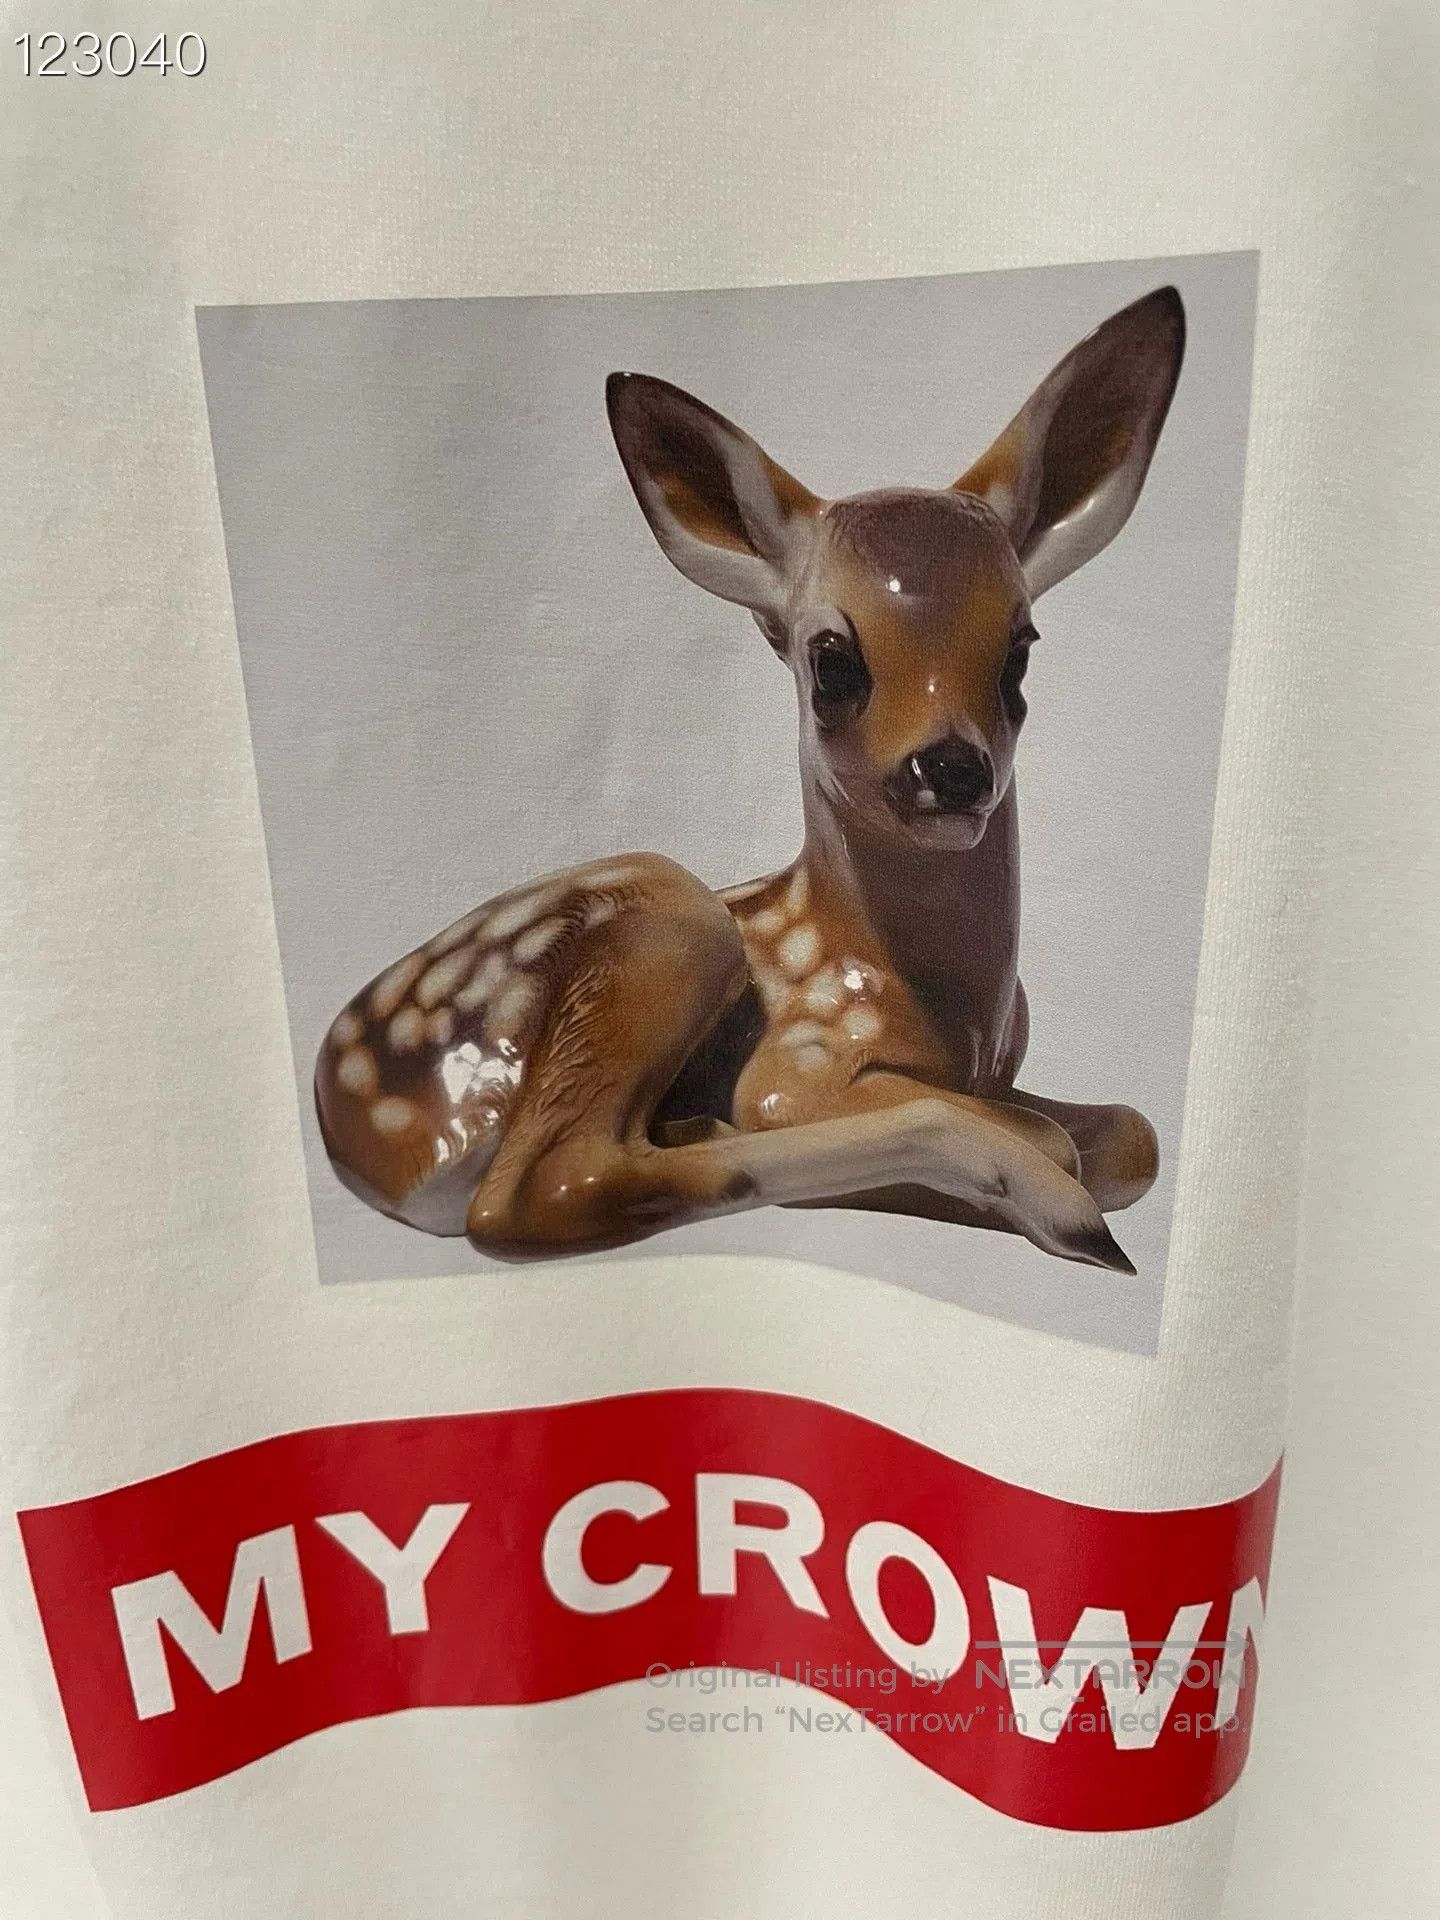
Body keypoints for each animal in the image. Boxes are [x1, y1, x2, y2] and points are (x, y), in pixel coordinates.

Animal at [315, 287, 1185, 1275]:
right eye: (831, 659)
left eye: (1020, 650)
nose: (953, 769)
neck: (955, 1024)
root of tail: (351, 1134)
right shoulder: (797, 1065)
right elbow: (1045, 1135)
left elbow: (1134, 1132)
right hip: (672, 920)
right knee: (540, 1192)